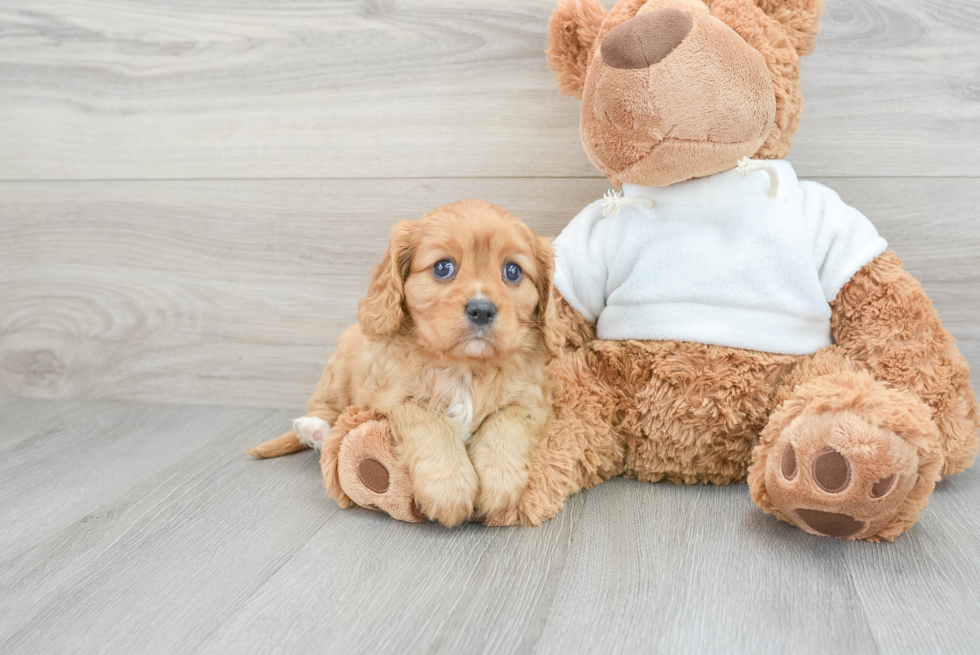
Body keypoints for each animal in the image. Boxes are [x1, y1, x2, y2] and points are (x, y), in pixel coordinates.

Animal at [249, 200, 564, 528]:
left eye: (513, 271)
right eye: (442, 267)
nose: (481, 310)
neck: (464, 366)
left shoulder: (532, 399)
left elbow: (507, 423)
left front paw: (499, 483)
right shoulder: (394, 397)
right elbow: (429, 423)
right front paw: (448, 487)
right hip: (336, 374)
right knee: (325, 412)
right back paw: (315, 431)